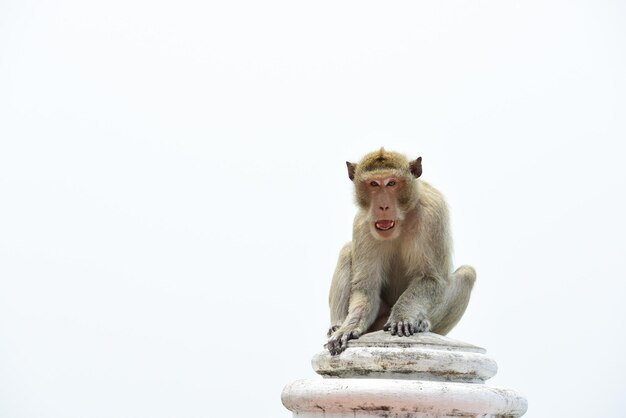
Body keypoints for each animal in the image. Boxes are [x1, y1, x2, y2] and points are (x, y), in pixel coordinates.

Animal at [326, 149, 472, 354]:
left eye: (391, 183)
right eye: (373, 184)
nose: (383, 206)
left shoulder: (432, 214)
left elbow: (431, 278)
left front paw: (402, 316)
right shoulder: (362, 224)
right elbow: (366, 287)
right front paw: (350, 326)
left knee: (467, 273)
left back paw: (422, 323)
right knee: (347, 251)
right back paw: (337, 325)